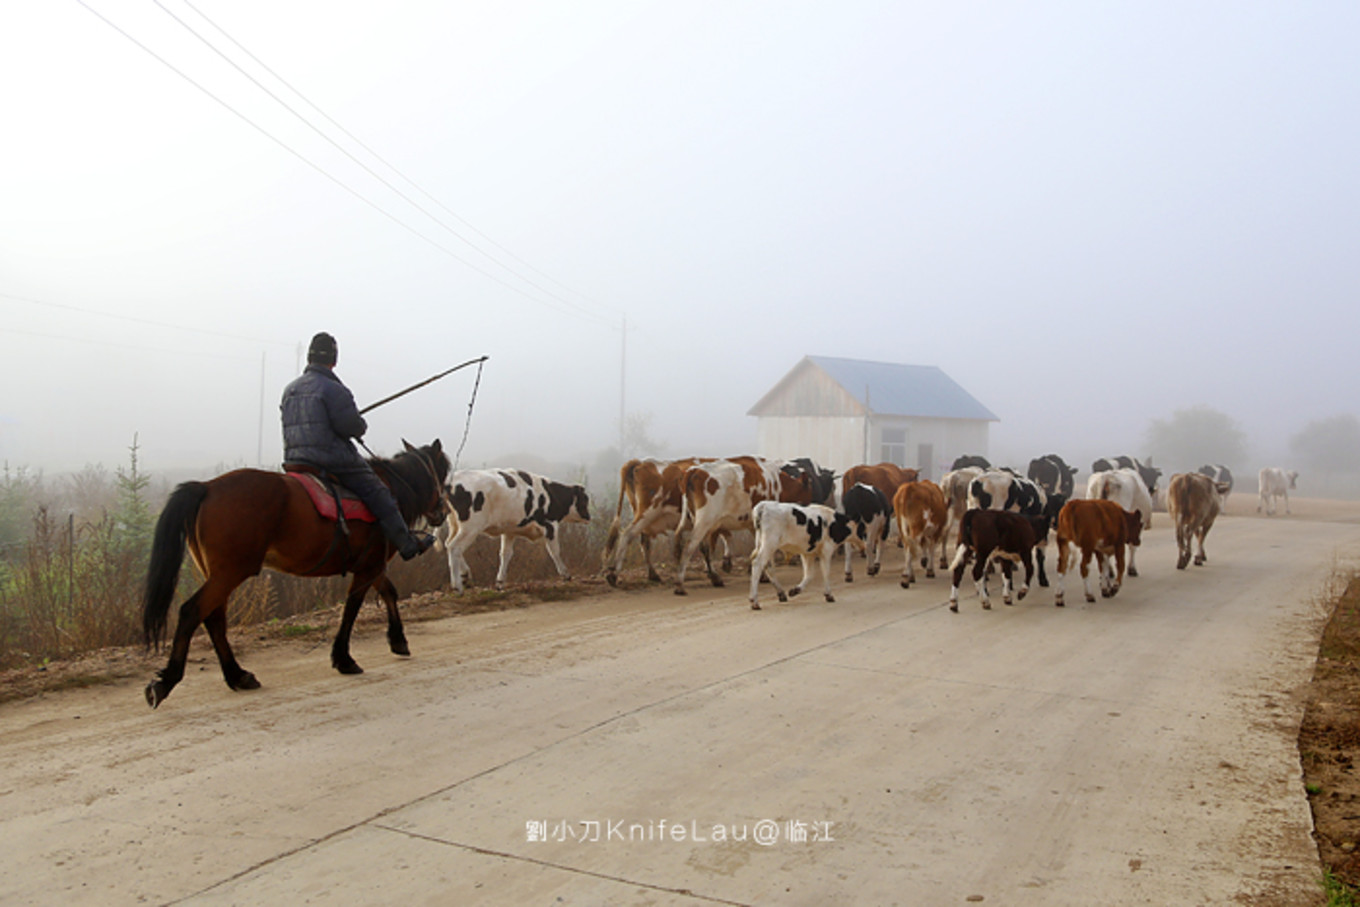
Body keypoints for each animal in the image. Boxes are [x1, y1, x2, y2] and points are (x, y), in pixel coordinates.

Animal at [143, 440, 451, 707]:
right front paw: (344, 658)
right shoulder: (369, 566)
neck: (392, 489)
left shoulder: (370, 565)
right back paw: (168, 680)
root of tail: (206, 487)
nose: (442, 512)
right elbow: (352, 609)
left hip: (220, 574)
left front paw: (398, 640)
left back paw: (238, 675)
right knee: (192, 611)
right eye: (442, 473)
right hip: (229, 573)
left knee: (213, 618)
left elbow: (388, 592)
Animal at [440, 473, 590, 592]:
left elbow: (505, 554)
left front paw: (500, 582)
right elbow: (555, 552)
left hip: (455, 525)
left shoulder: (509, 531)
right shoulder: (550, 526)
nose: (589, 517)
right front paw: (565, 574)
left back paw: (466, 576)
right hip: (471, 527)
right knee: (455, 547)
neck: (550, 494)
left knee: (449, 544)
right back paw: (457, 585)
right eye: (585, 499)